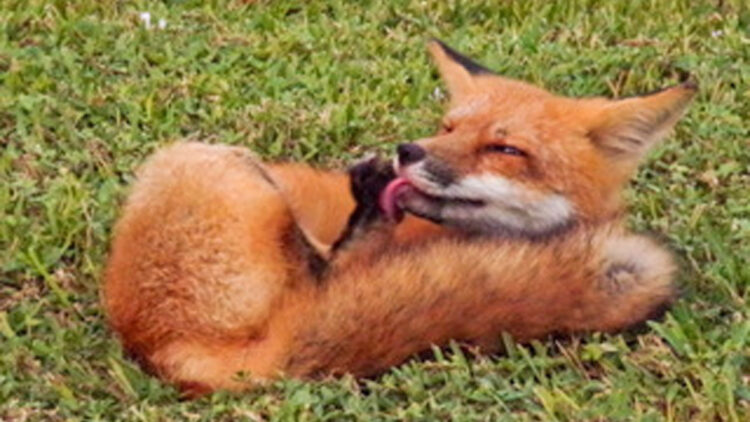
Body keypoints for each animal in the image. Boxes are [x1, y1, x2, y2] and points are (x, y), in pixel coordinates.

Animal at [103, 40, 696, 396]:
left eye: (505, 149)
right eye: (450, 126)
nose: (408, 151)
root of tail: (156, 344)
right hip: (218, 164)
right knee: (330, 269)